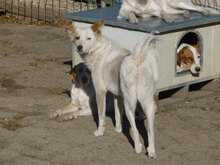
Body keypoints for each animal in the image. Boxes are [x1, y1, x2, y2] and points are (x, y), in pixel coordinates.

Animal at [68, 20, 159, 159]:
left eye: (89, 38)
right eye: (78, 38)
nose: (79, 47)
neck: (99, 49)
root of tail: (136, 60)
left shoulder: (101, 92)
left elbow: (101, 117)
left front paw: (100, 132)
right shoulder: (118, 96)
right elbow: (117, 115)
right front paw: (118, 130)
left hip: (130, 104)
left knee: (134, 129)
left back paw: (138, 148)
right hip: (146, 103)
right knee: (150, 130)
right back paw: (151, 151)